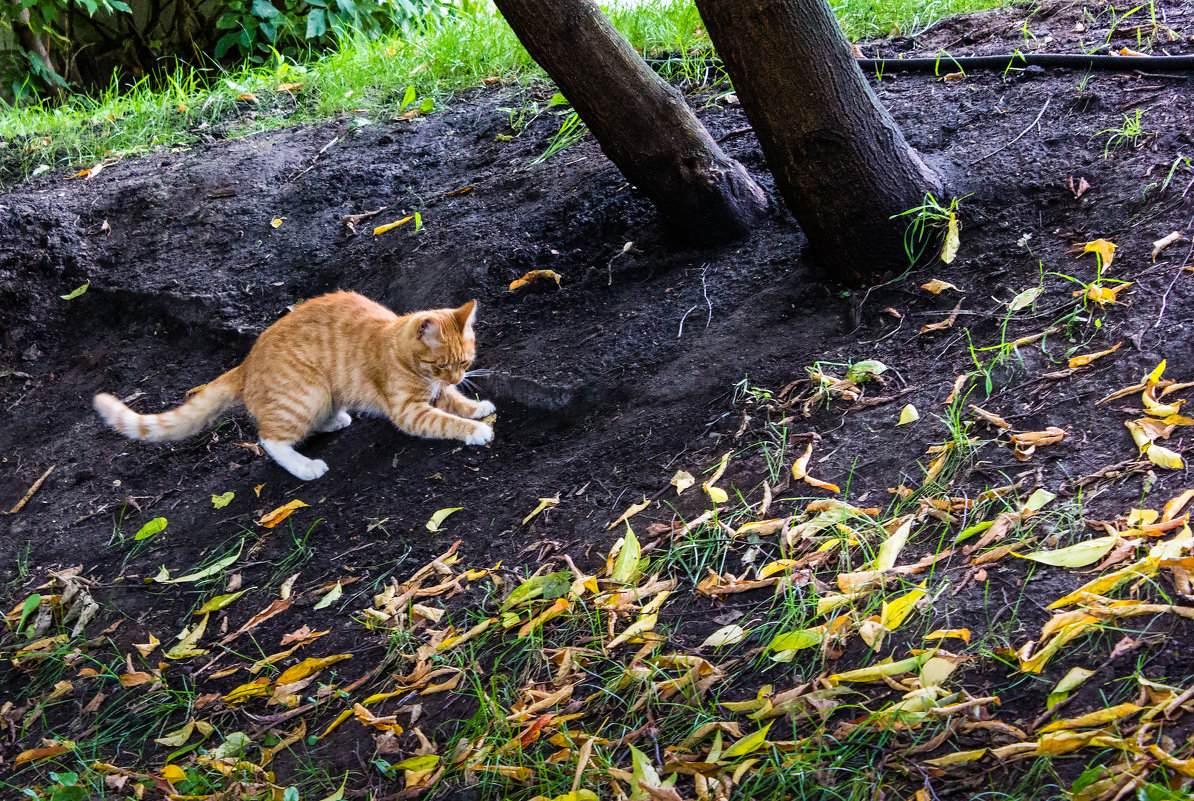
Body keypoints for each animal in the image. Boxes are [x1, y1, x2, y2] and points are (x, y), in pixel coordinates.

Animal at [91, 294, 494, 482]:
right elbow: (446, 421)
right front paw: (475, 430)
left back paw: (334, 421)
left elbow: (455, 403)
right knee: (270, 438)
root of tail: (246, 363)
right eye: (441, 365)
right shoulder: (410, 410)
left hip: (323, 395)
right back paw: (304, 466)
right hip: (306, 394)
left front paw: (476, 407)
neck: (393, 343)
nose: (456, 377)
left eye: (464, 363)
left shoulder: (436, 392)